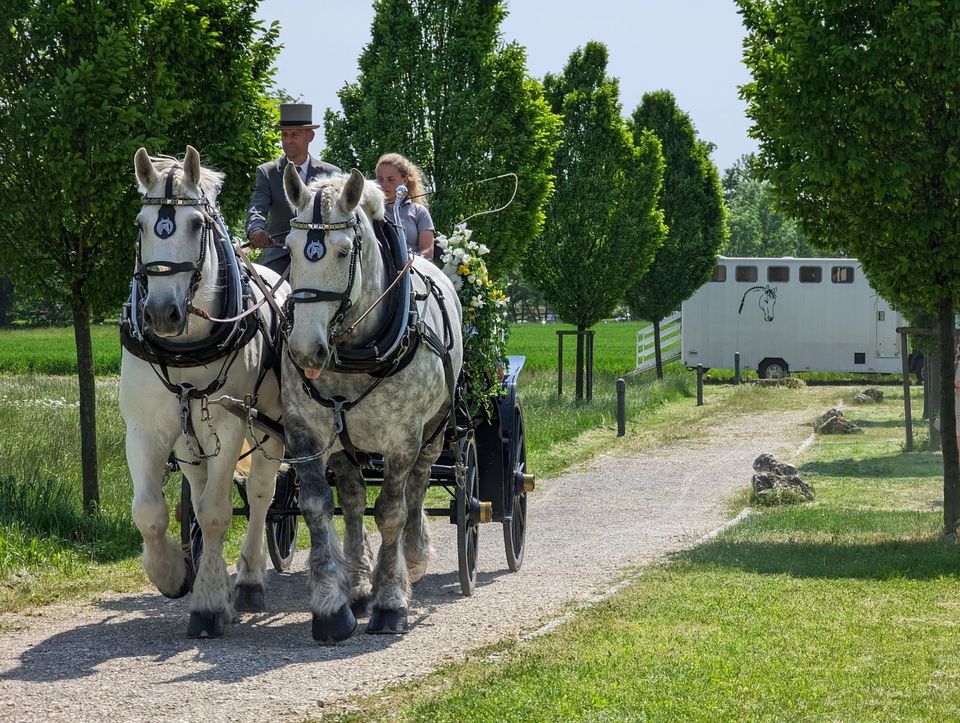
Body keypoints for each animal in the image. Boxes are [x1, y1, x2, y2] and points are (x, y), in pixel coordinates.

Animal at [120, 146, 286, 640]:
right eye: (141, 223)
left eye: (195, 225)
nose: (161, 313)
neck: (185, 346)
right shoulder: (144, 429)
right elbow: (150, 512)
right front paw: (173, 574)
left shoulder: (230, 426)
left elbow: (215, 512)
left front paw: (211, 603)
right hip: (188, 436)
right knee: (195, 488)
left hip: (269, 426)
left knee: (261, 495)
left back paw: (248, 579)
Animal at [280, 167, 464, 640]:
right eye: (290, 247)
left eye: (344, 251)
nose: (306, 349)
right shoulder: (304, 432)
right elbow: (317, 506)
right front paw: (332, 604)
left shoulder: (403, 437)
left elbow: (391, 512)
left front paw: (391, 599)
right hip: (345, 444)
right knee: (351, 496)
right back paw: (360, 582)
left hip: (435, 431)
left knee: (418, 486)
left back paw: (413, 557)